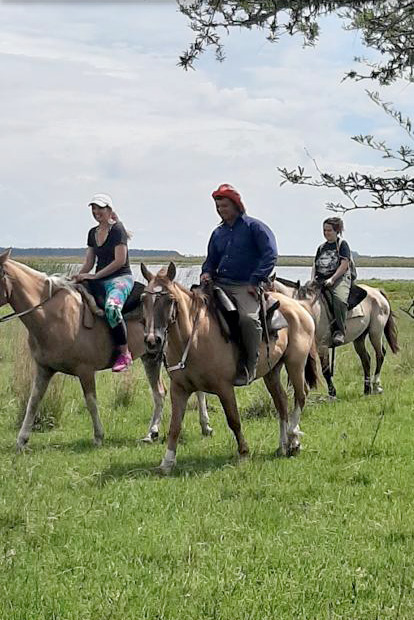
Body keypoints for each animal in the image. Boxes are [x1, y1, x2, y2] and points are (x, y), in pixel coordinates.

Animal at [0, 248, 213, 450]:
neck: (55, 316)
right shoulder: (44, 369)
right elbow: (33, 402)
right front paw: (21, 440)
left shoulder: (85, 371)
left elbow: (91, 403)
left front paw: (98, 436)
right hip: (151, 357)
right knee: (159, 393)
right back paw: (151, 433)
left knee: (194, 390)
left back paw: (205, 426)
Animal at [141, 262, 318, 474]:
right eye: (143, 299)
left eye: (169, 299)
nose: (152, 340)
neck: (194, 336)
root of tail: (299, 307)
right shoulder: (179, 389)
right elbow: (175, 426)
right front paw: (167, 462)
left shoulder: (224, 388)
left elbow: (234, 420)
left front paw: (243, 453)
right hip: (272, 372)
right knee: (281, 402)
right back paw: (283, 445)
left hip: (295, 363)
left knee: (301, 395)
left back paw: (294, 438)